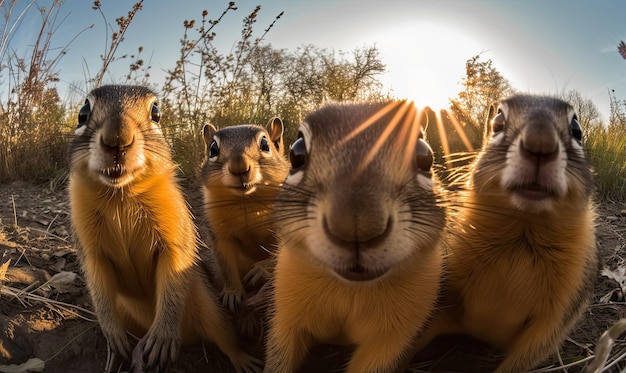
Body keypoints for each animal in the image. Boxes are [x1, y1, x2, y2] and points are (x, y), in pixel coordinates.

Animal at [67, 84, 260, 372]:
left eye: (156, 112)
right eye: (82, 112)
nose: (117, 138)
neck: (120, 196)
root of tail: (189, 340)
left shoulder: (174, 236)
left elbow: (172, 277)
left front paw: (163, 335)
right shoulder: (91, 250)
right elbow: (98, 289)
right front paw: (113, 334)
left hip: (208, 306)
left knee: (226, 339)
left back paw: (244, 360)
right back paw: (115, 357)